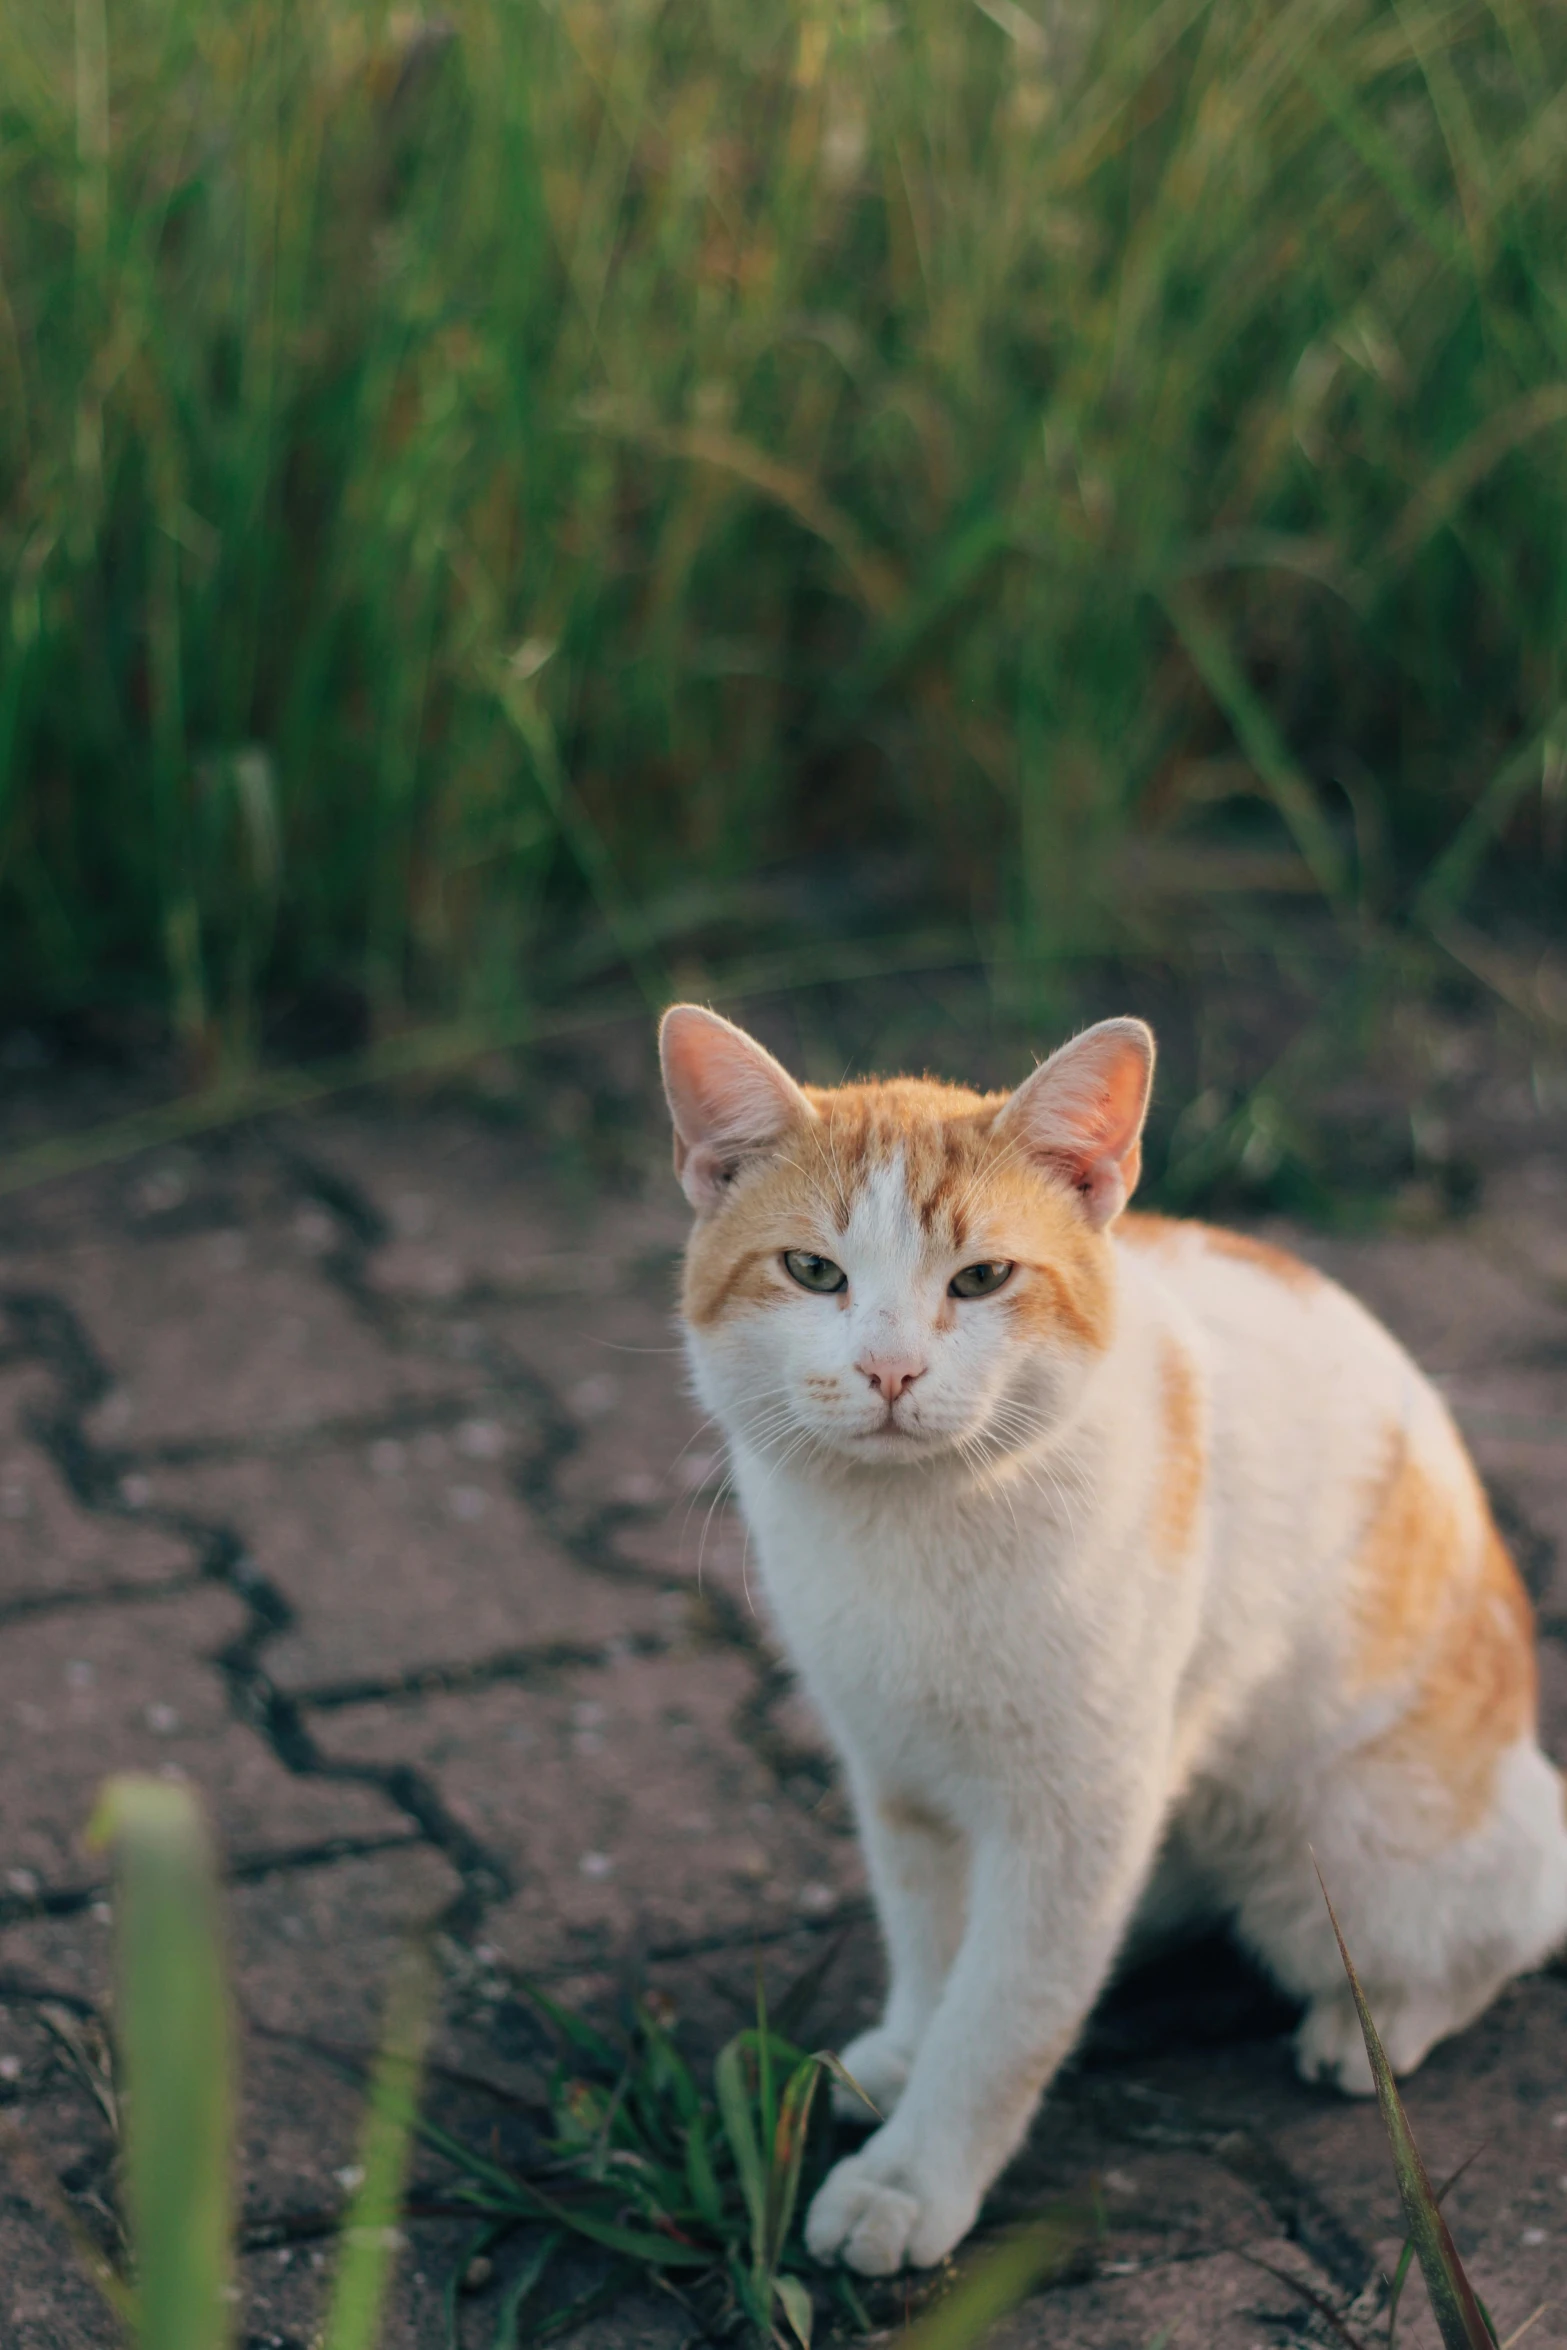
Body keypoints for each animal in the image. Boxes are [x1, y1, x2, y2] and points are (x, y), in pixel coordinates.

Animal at [657, 1005, 1559, 2274]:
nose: (889, 1369)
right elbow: (932, 1946)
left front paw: (908, 2178)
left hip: (1352, 1856)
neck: (909, 1529)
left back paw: (1368, 2022)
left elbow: (1004, 2015)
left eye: (982, 1278)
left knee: (1510, 1915)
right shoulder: (899, 1776)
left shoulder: (1072, 1811)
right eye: (812, 1271)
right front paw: (905, 2047)